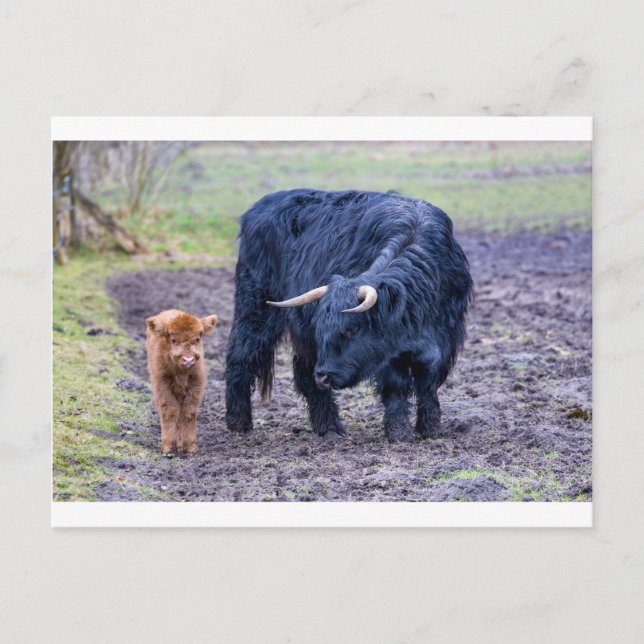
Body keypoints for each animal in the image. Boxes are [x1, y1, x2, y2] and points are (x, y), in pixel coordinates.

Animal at [146, 309, 218, 455]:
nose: (188, 360)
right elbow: (169, 411)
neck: (181, 373)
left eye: (197, 339)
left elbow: (189, 412)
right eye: (173, 340)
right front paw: (168, 448)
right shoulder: (162, 385)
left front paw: (190, 447)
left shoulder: (196, 385)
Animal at [225, 189, 472, 443]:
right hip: (255, 309)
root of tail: (259, 207)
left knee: (304, 373)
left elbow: (428, 385)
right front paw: (399, 434)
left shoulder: (443, 340)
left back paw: (327, 426)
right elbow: (396, 387)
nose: (324, 377)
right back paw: (240, 422)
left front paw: (430, 429)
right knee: (242, 355)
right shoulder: (389, 353)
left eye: (351, 330)